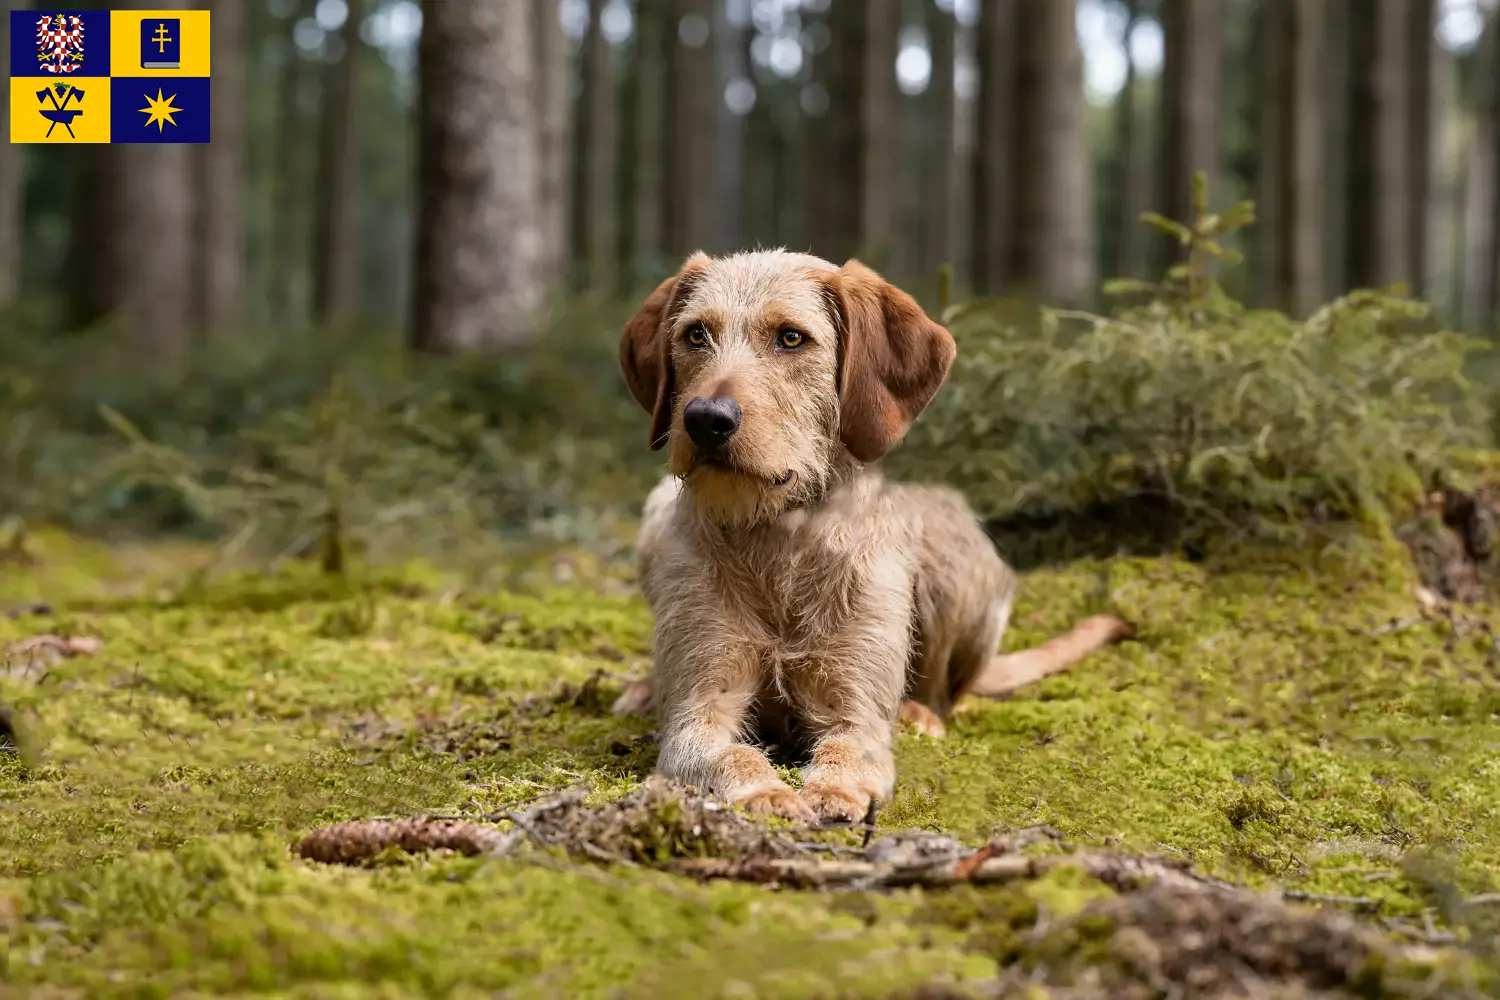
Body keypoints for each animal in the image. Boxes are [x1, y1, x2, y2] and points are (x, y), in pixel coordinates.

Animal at [609, 251, 1128, 827]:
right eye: (696, 334)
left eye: (791, 338)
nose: (705, 419)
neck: (782, 536)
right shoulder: (700, 705)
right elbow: (729, 752)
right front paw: (768, 793)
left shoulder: (855, 707)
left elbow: (848, 749)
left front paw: (835, 789)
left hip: (950, 562)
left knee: (948, 691)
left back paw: (922, 713)